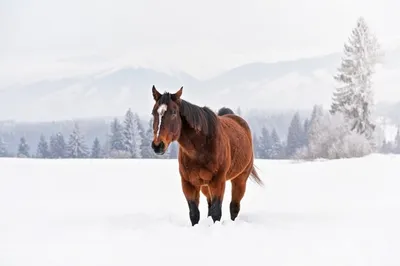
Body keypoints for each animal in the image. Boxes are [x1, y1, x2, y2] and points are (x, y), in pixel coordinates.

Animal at [150, 85, 262, 227]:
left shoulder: (218, 182)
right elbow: (194, 213)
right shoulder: (188, 184)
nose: (157, 145)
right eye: (153, 112)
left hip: (240, 179)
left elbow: (216, 212)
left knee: (234, 207)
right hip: (205, 186)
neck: (201, 148)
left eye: (174, 112)